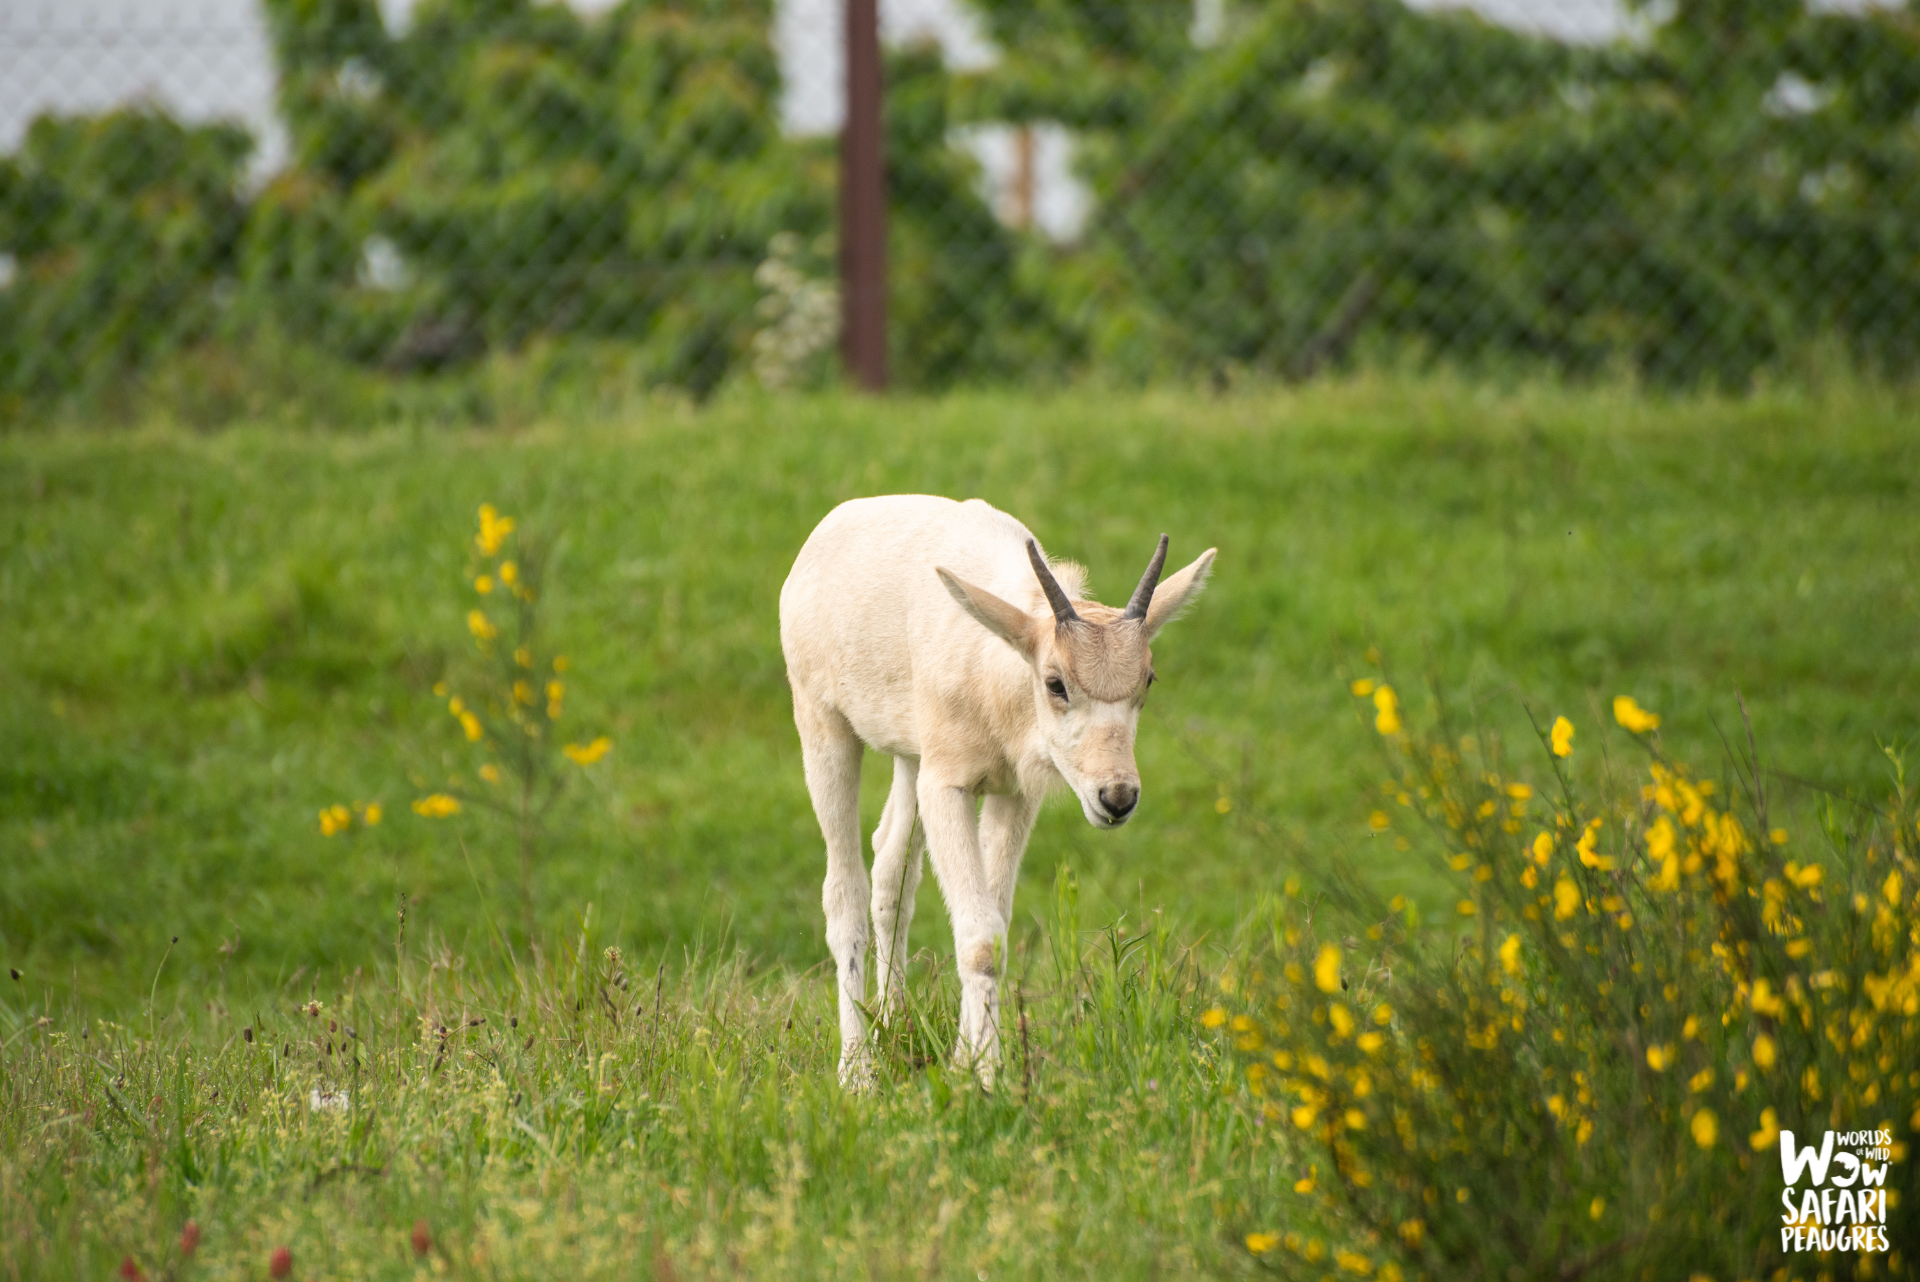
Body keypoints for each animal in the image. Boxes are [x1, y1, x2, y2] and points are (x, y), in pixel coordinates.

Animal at [779, 495, 1213, 1090]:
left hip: (909, 759)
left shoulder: (1013, 794)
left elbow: (996, 930)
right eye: (1056, 683)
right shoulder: (948, 787)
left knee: (891, 868)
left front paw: (968, 1062)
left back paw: (894, 1025)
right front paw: (986, 1078)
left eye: (1147, 680)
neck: (995, 666)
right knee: (843, 889)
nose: (1117, 797)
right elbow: (980, 937)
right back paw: (858, 1071)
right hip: (825, 728)